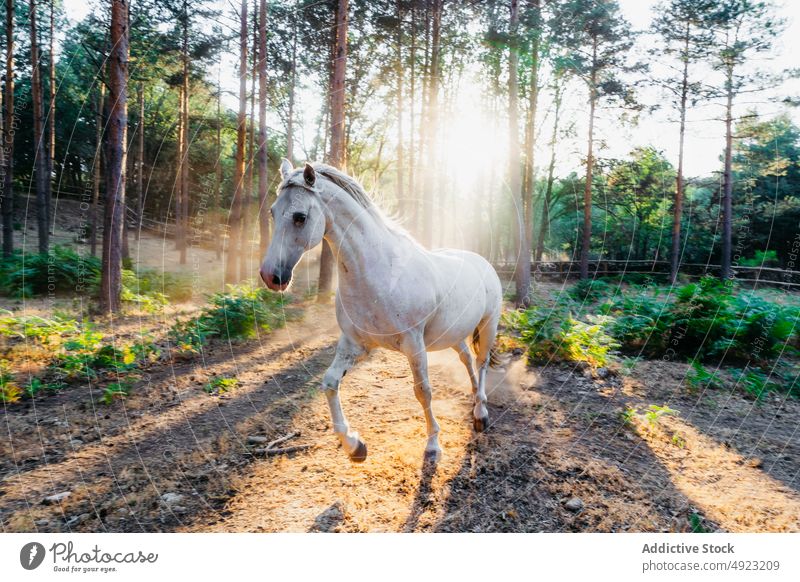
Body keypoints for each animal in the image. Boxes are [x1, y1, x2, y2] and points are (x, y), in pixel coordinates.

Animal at [260, 162, 500, 464]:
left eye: (300, 217)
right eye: (273, 212)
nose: (271, 276)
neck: (379, 272)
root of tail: (482, 262)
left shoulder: (413, 344)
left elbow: (423, 392)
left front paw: (433, 445)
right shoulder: (354, 344)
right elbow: (329, 383)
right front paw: (354, 445)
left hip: (488, 325)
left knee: (481, 362)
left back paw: (481, 413)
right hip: (453, 334)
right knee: (467, 359)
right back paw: (474, 399)